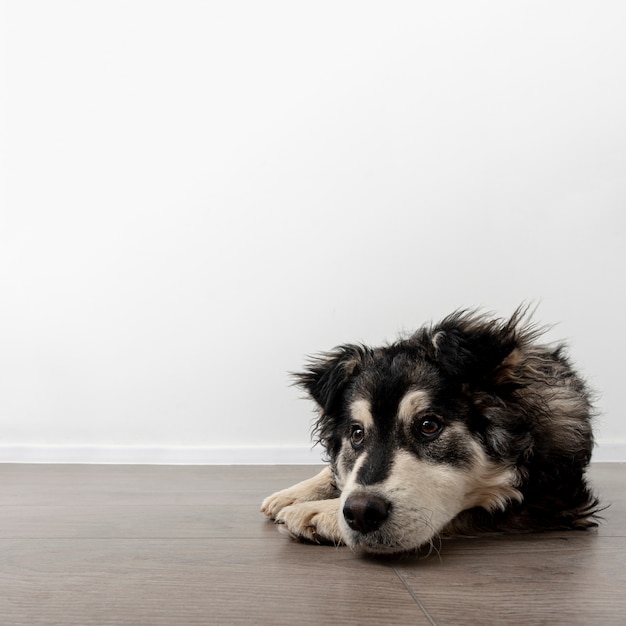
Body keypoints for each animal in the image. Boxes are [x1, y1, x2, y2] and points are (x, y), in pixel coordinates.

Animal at [260, 304, 600, 552]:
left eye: (428, 426)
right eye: (356, 433)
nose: (361, 511)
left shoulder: (557, 498)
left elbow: (471, 508)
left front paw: (321, 512)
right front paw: (311, 498)